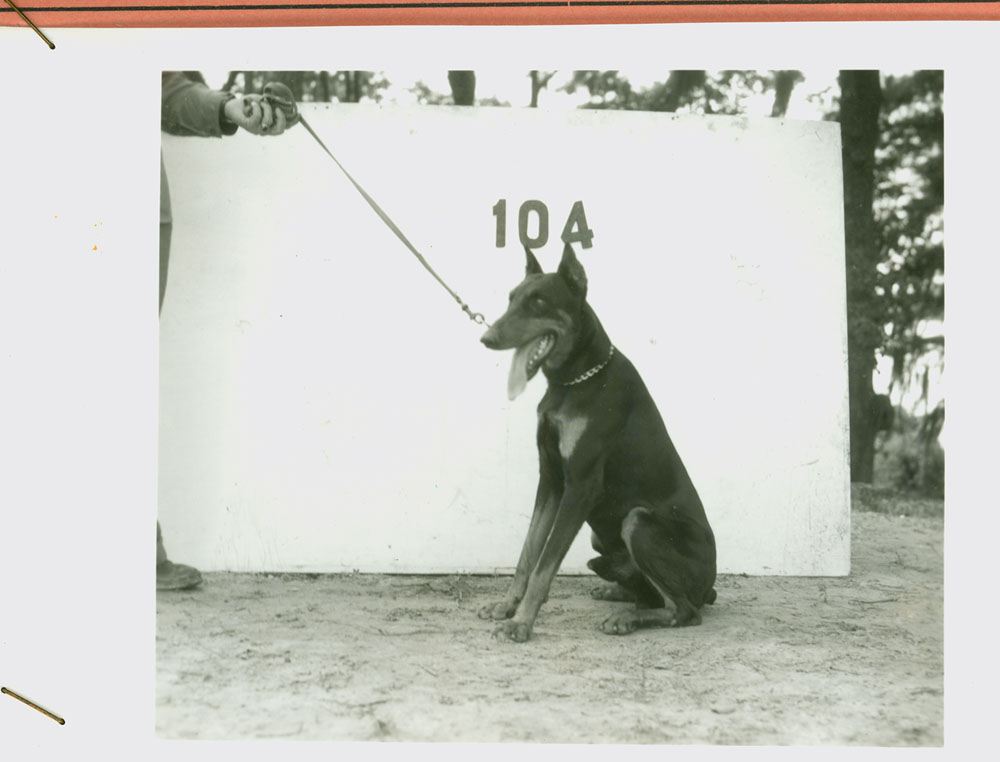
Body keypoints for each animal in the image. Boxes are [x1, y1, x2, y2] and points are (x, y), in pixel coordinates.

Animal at [480, 243, 716, 640]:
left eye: (539, 302)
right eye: (511, 299)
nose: (487, 339)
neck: (575, 379)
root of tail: (711, 583)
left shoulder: (581, 485)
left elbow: (546, 562)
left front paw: (521, 623)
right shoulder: (551, 479)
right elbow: (529, 552)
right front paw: (509, 605)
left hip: (637, 520)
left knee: (684, 610)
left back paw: (628, 618)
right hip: (599, 536)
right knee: (653, 595)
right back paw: (618, 594)